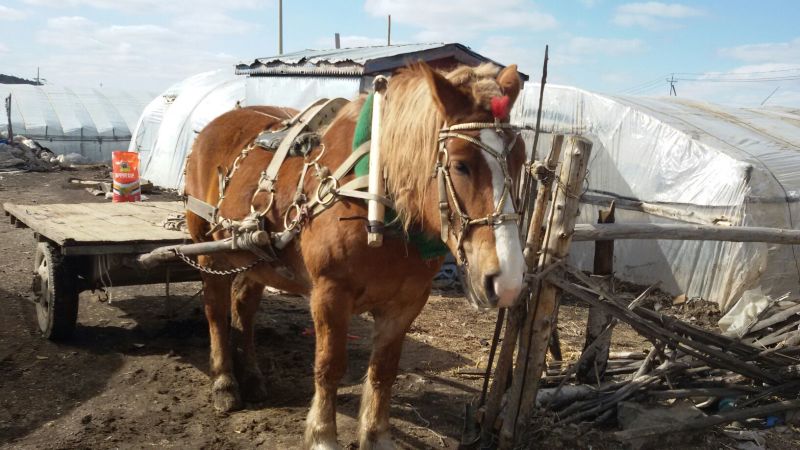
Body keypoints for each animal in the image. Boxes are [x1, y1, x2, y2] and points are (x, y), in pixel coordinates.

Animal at [183, 61, 526, 449]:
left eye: (521, 160)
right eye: (460, 165)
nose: (507, 282)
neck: (374, 195)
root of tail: (212, 127)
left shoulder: (407, 301)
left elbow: (384, 370)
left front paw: (376, 435)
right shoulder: (330, 293)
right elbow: (329, 366)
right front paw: (322, 435)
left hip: (254, 258)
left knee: (244, 308)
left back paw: (253, 377)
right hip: (209, 251)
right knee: (215, 310)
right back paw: (224, 382)